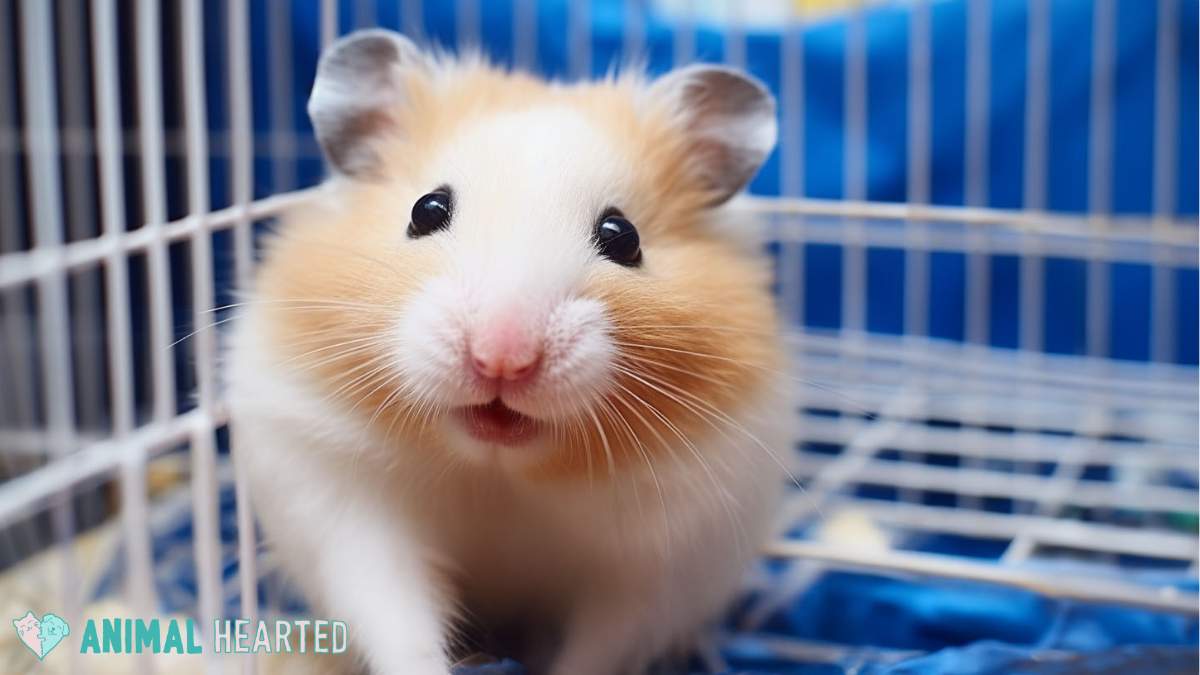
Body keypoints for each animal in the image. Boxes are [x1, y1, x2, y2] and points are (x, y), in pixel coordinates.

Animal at [226, 28, 787, 672]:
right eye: (426, 210)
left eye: (623, 237)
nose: (502, 358)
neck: (496, 472)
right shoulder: (348, 512)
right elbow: (396, 617)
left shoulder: (659, 563)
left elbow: (599, 648)